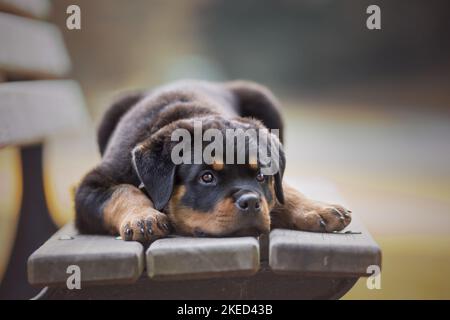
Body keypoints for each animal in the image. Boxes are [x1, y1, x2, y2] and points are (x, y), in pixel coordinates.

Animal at [75, 80, 352, 242]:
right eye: (207, 177)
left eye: (261, 176)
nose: (251, 202)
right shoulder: (90, 187)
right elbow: (122, 191)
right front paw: (144, 218)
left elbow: (283, 190)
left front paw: (317, 208)